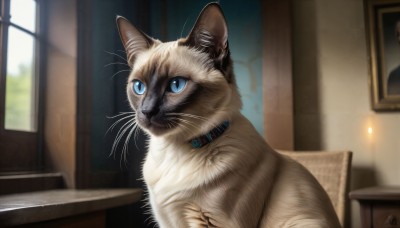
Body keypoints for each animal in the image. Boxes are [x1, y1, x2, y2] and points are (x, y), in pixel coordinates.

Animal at [115, 2, 340, 228]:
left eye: (176, 85)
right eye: (139, 87)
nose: (147, 111)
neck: (174, 149)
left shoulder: (212, 221)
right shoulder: (166, 221)